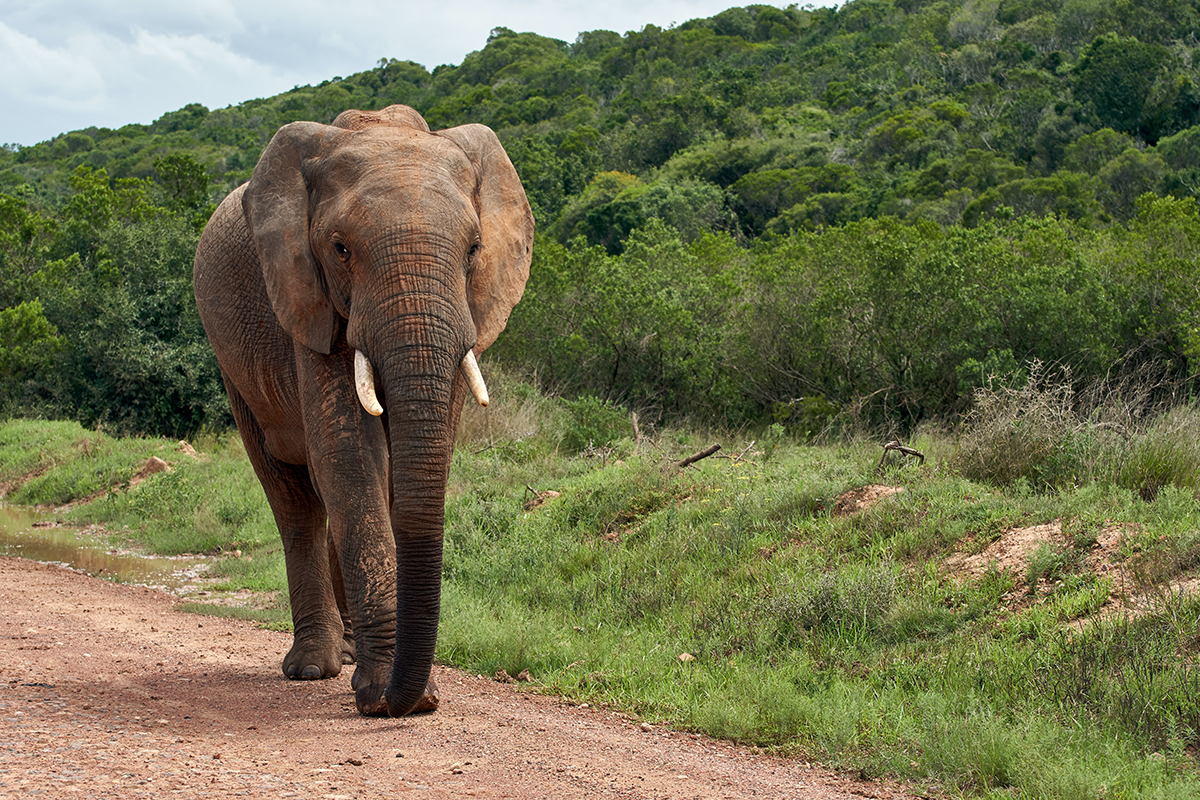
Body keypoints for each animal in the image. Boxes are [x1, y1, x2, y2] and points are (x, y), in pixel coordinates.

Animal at [192, 104, 533, 717]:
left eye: (474, 249)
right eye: (341, 249)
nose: (402, 702)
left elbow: (406, 468)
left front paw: (403, 693)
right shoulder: (309, 299)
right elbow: (351, 459)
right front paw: (384, 694)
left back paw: (346, 656)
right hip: (234, 369)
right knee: (294, 500)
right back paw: (313, 668)